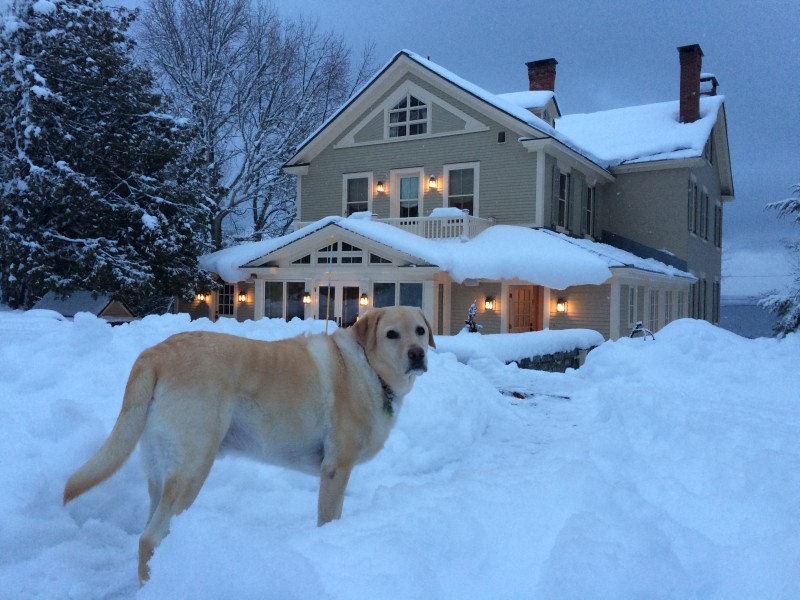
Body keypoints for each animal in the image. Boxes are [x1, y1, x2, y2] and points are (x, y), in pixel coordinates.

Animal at [65, 308, 434, 584]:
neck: (369, 370)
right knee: (149, 538)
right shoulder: (335, 469)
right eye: (392, 334)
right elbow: (328, 519)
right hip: (193, 466)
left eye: (419, 331)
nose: (417, 354)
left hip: (160, 471)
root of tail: (156, 353)